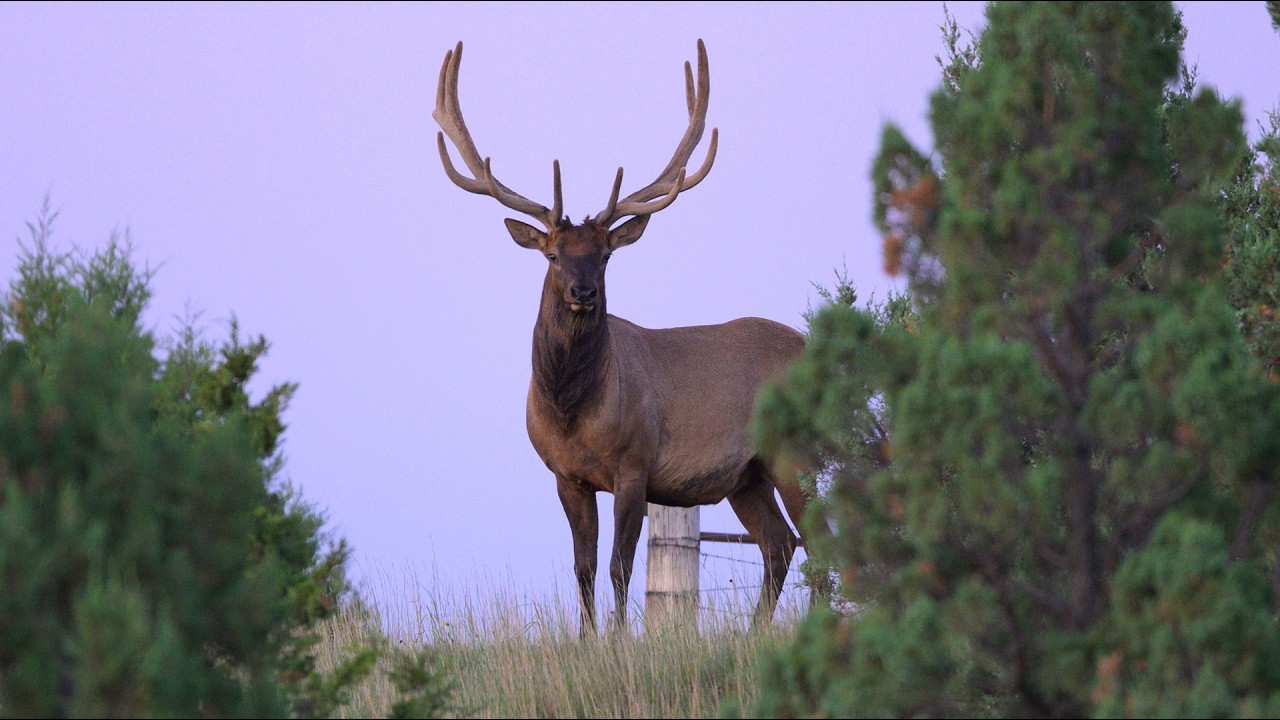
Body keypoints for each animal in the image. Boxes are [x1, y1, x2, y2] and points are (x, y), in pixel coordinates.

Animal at [432, 38, 813, 635]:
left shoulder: (636, 464)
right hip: (747, 475)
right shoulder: (567, 475)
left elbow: (620, 566)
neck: (573, 412)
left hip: (797, 449)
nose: (584, 291)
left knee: (824, 537)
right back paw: (757, 634)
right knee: (779, 544)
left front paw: (617, 640)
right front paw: (587, 640)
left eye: (606, 255)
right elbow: (583, 566)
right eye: (552, 254)